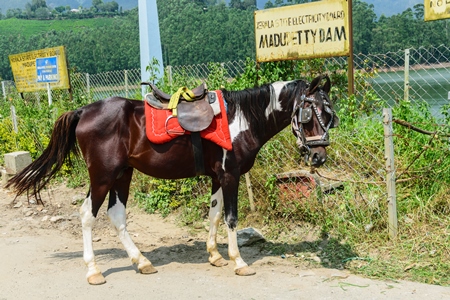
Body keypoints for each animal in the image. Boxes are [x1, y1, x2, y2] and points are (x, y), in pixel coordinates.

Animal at [6, 75, 338, 284]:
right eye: (309, 114)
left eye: (330, 115)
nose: (319, 157)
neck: (241, 120)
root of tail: (84, 110)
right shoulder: (230, 175)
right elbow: (231, 218)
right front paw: (239, 262)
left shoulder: (217, 177)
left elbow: (214, 214)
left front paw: (215, 256)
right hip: (102, 176)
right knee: (88, 215)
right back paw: (94, 271)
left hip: (122, 174)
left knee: (117, 215)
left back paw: (141, 261)